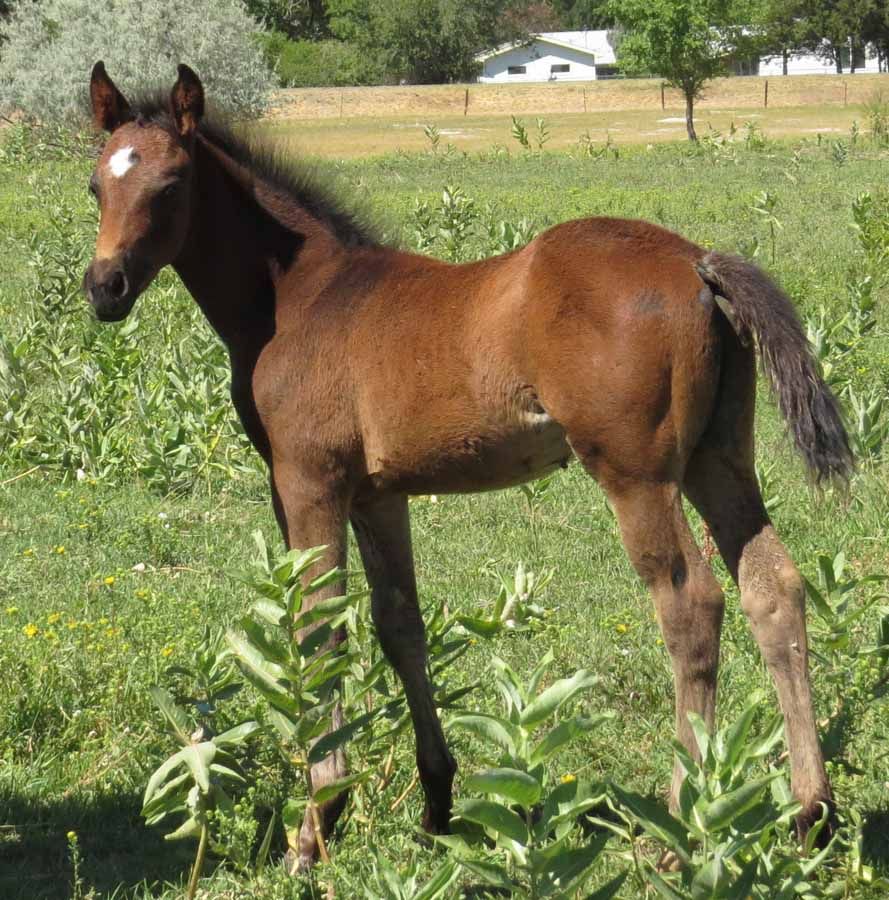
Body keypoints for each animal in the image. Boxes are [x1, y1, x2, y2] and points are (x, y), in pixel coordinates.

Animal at [83, 62, 852, 869]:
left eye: (171, 184)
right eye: (95, 186)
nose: (104, 288)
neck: (298, 299)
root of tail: (696, 263)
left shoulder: (306, 481)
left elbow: (318, 629)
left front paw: (318, 823)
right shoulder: (376, 494)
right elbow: (399, 625)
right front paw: (436, 801)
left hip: (636, 472)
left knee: (691, 605)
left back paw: (679, 825)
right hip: (717, 457)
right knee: (772, 586)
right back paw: (811, 812)